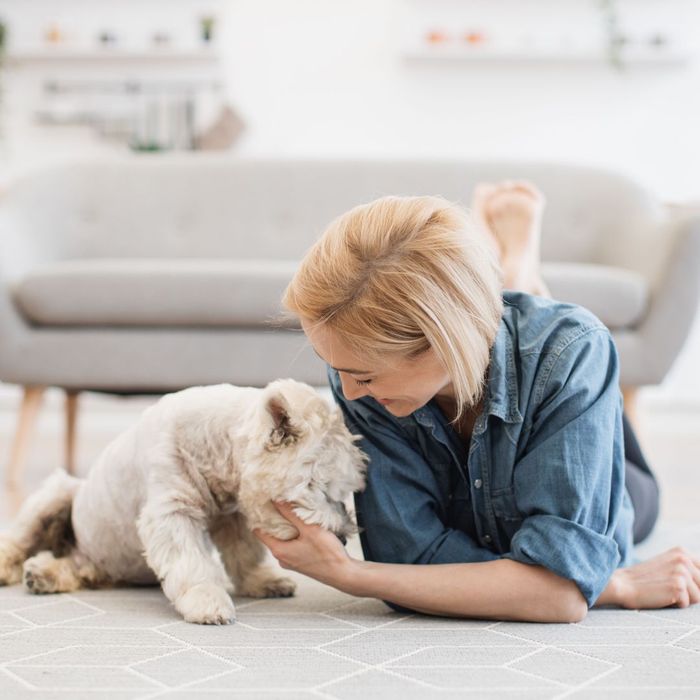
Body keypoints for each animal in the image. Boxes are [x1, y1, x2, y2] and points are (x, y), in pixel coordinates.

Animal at [0, 380, 366, 628]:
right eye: (322, 488)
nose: (341, 538)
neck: (216, 444)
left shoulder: (231, 514)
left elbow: (244, 553)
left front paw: (263, 581)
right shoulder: (171, 509)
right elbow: (191, 560)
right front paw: (208, 602)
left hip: (94, 557)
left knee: (79, 569)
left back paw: (44, 574)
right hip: (58, 494)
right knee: (22, 539)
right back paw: (19, 570)